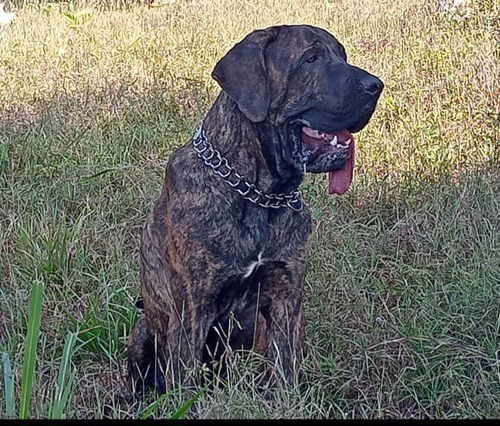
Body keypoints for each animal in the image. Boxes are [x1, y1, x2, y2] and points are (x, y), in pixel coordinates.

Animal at [126, 25, 382, 394]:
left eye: (342, 56)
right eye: (311, 58)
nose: (377, 85)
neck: (260, 194)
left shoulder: (286, 297)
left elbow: (284, 368)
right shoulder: (193, 307)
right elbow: (184, 379)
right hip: (143, 329)